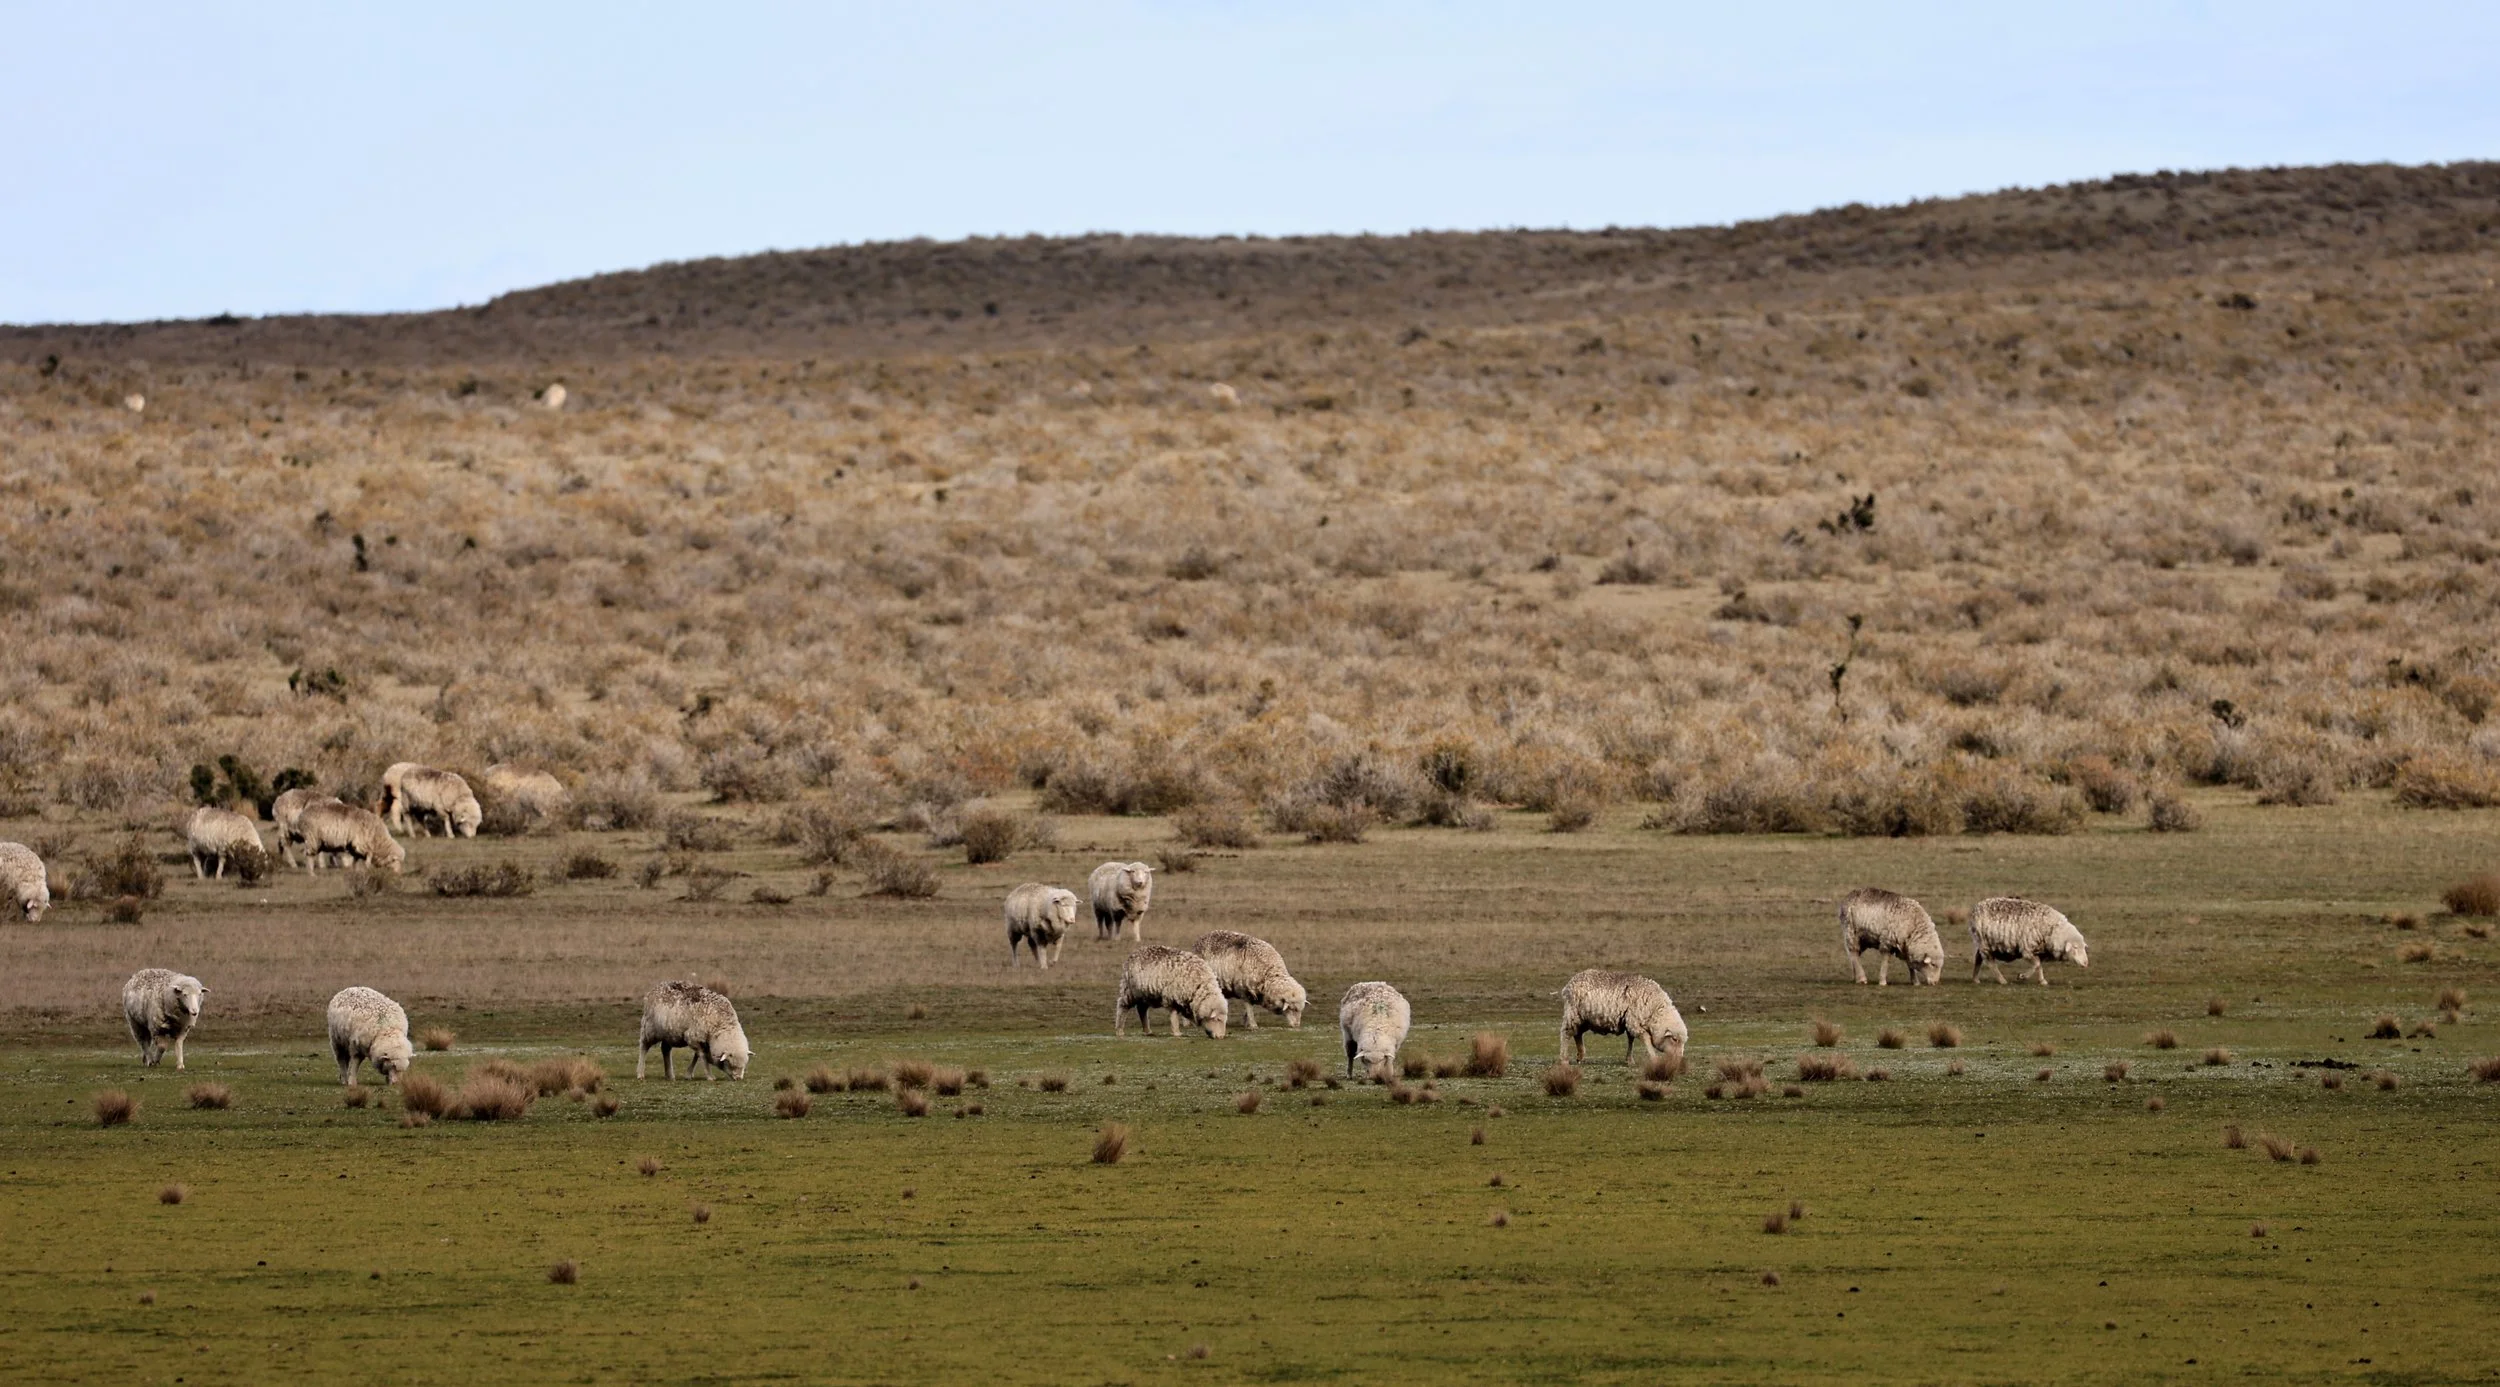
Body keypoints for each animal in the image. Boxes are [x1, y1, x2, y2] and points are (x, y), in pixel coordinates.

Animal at [1558, 969, 1688, 1067]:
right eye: (1674, 1039)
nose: (1679, 1060)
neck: (1654, 1008)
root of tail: (1570, 983)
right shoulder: (1634, 1022)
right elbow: (1646, 1039)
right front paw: (1654, 1058)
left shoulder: (1629, 1021)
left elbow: (1631, 1040)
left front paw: (1629, 1060)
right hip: (1573, 1013)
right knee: (1566, 1033)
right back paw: (1564, 1059)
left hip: (1584, 1019)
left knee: (1577, 1033)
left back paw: (1580, 1055)